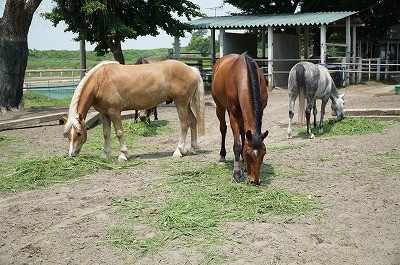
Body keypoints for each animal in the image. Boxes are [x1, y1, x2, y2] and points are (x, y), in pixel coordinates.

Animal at [65, 59, 206, 160]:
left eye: (79, 133)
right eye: (67, 134)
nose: (72, 154)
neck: (100, 81)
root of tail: (191, 69)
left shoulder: (114, 112)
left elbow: (119, 132)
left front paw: (123, 154)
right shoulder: (104, 113)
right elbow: (106, 133)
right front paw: (105, 154)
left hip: (181, 103)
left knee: (184, 124)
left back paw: (178, 151)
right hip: (186, 104)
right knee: (193, 121)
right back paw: (192, 148)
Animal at [212, 52, 268, 185]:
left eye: (264, 153)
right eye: (248, 154)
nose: (255, 181)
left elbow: (244, 138)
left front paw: (245, 170)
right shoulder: (234, 115)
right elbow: (237, 146)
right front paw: (237, 173)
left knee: (243, 132)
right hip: (219, 106)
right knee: (223, 128)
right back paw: (222, 156)